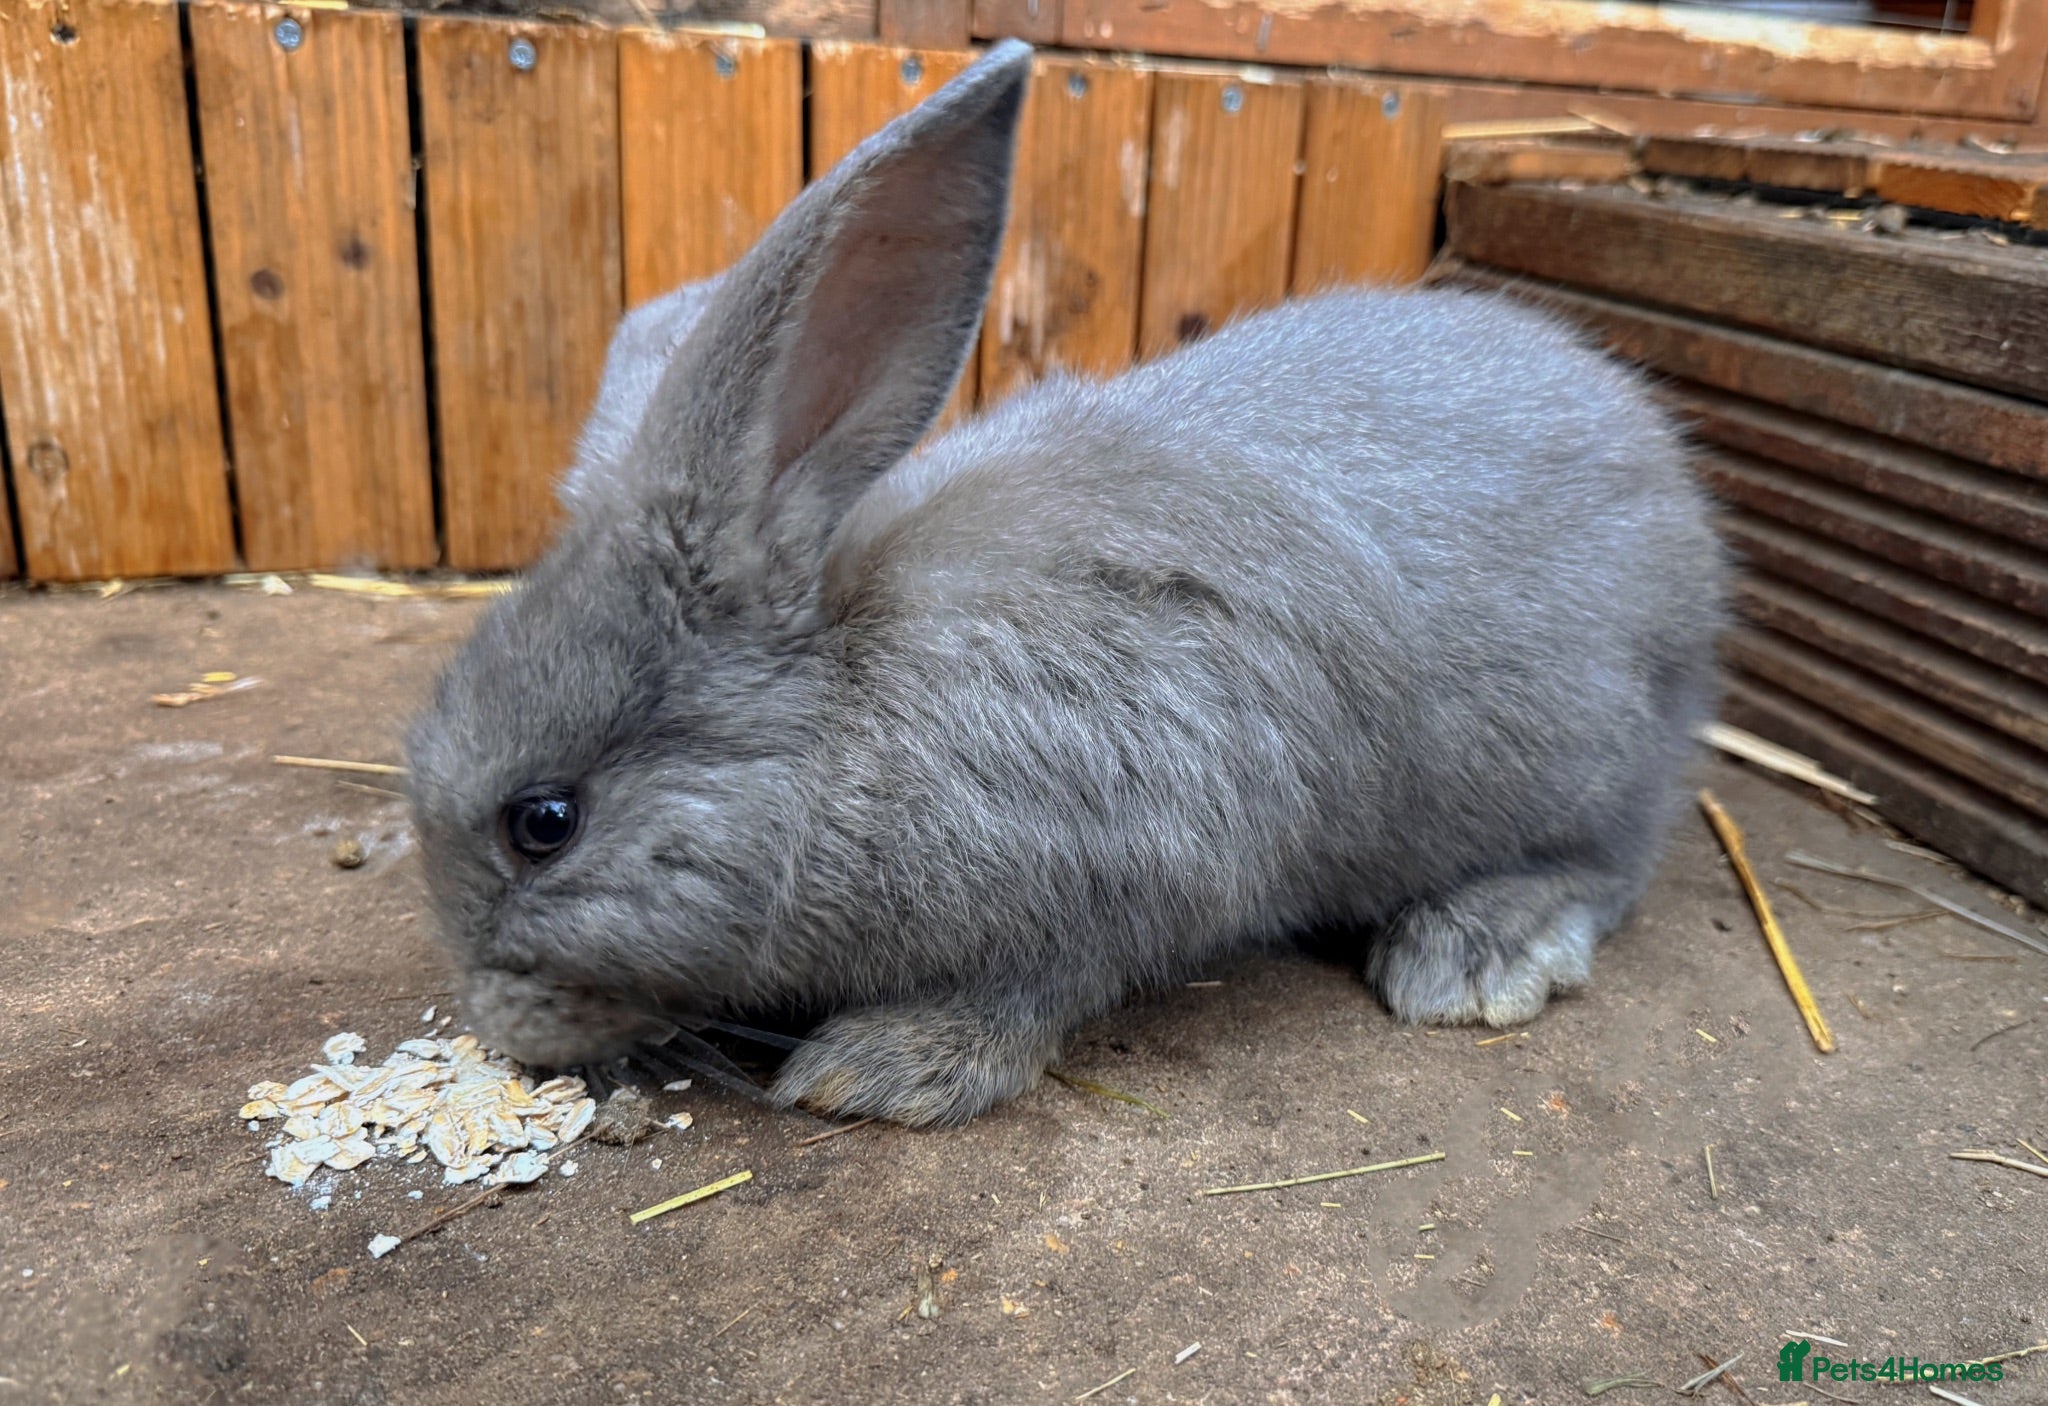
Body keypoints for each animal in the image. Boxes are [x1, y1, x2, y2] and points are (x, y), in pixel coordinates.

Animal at [405, 38, 1725, 1128]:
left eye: (543, 822)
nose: (504, 1030)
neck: (842, 717)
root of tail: (1688, 529)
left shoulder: (1126, 868)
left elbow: (1038, 986)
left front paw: (883, 1067)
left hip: (1579, 756)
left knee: (1615, 856)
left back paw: (1475, 952)